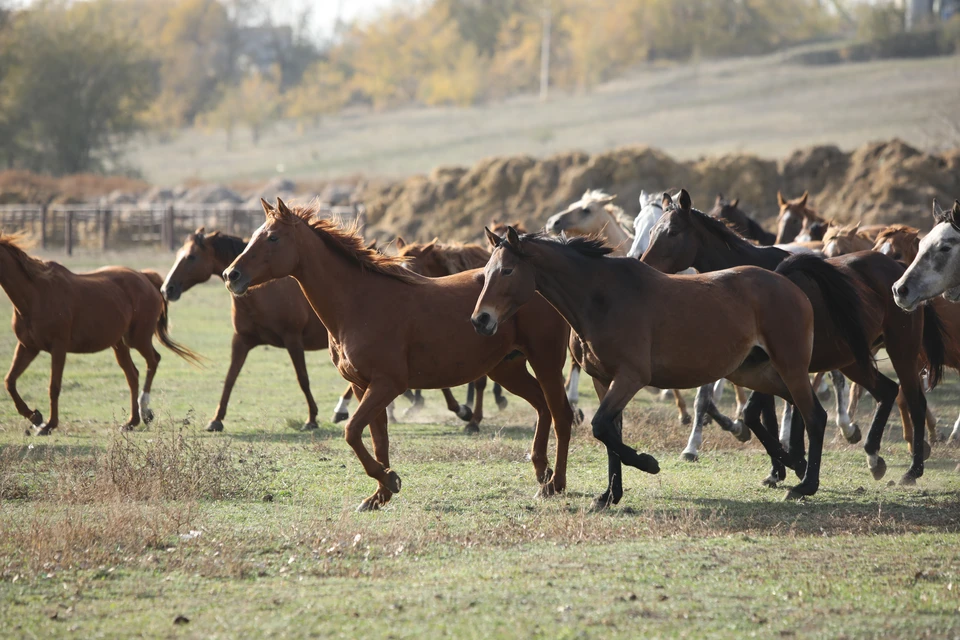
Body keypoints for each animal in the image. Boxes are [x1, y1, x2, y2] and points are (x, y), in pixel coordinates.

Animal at [0, 234, 202, 436]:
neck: (35, 294)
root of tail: (144, 277)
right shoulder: (28, 347)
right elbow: (10, 381)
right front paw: (36, 417)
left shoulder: (58, 349)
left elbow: (54, 387)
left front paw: (49, 424)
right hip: (120, 344)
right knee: (133, 375)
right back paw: (132, 421)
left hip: (137, 339)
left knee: (153, 361)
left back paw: (144, 411)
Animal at [221, 200, 572, 510]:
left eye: (273, 237)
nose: (231, 275)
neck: (359, 301)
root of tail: (539, 282)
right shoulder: (363, 386)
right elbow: (378, 439)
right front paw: (380, 494)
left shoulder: (387, 384)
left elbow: (352, 432)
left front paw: (389, 480)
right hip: (508, 368)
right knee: (543, 407)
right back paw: (541, 471)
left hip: (545, 361)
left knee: (561, 414)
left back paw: (555, 484)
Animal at [474, 222, 832, 508]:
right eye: (486, 272)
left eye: (507, 271)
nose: (481, 320)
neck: (602, 298)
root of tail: (786, 282)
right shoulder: (604, 380)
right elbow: (610, 435)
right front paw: (609, 495)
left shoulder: (630, 377)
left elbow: (601, 427)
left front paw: (647, 463)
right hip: (757, 373)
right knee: (798, 410)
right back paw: (795, 465)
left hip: (789, 366)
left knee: (814, 416)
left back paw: (805, 485)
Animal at [640, 192, 940, 488]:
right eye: (653, 230)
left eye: (673, 232)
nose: (644, 266)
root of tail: (900, 272)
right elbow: (765, 417)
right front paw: (780, 469)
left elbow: (759, 414)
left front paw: (794, 462)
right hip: (852, 359)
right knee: (887, 391)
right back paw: (873, 456)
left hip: (901, 349)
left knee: (914, 401)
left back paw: (912, 469)